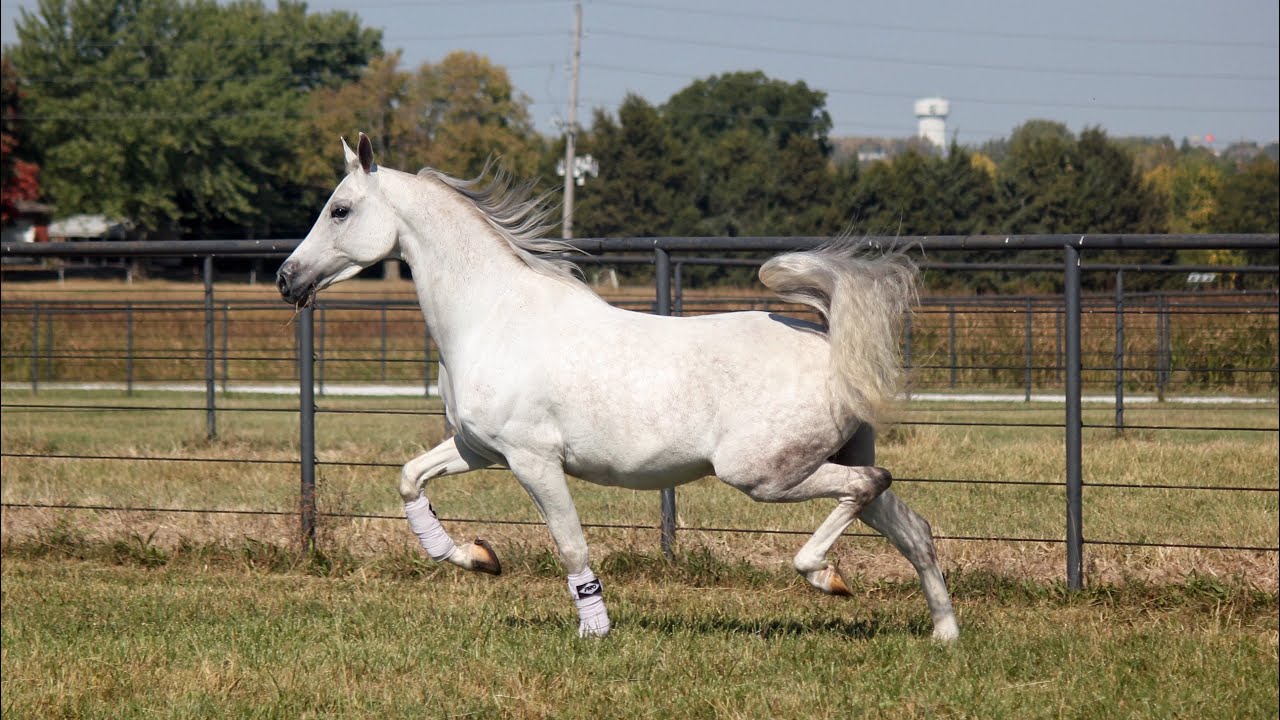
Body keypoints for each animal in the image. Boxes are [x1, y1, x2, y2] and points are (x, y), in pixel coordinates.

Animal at [277, 133, 959, 641]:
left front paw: (594, 630)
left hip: (764, 474)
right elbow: (409, 479)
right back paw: (944, 635)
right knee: (912, 525)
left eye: (339, 209)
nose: (287, 278)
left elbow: (571, 545)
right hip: (825, 459)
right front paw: (478, 557)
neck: (491, 316)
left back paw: (826, 577)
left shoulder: (533, 460)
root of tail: (830, 346)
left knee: (870, 487)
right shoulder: (479, 449)